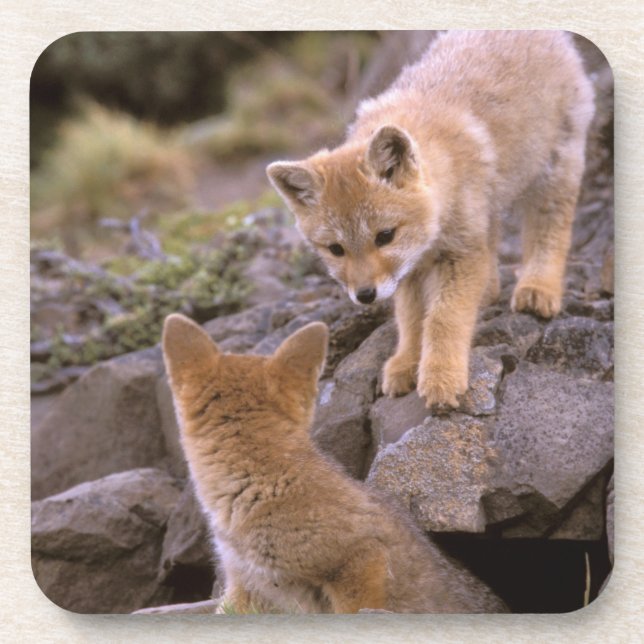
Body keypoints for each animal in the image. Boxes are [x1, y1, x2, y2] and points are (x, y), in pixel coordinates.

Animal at [267, 30, 595, 409]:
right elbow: (412, 320)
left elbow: (442, 318)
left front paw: (441, 376)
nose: (365, 295)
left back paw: (538, 287)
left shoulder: (461, 253)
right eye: (336, 249)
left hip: (554, 173)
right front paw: (407, 363)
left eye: (385, 236)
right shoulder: (411, 270)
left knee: (550, 230)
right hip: (489, 208)